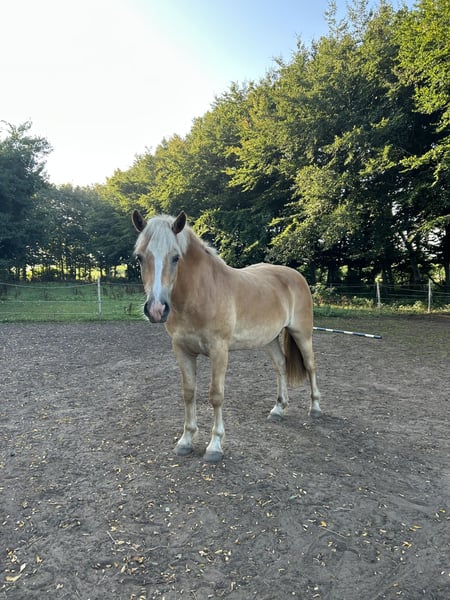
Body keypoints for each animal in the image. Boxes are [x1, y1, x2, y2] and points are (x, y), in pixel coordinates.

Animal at [132, 210, 322, 463]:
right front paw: (185, 440)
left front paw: (214, 446)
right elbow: (188, 393)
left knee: (310, 365)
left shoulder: (219, 351)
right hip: (270, 339)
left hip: (302, 333)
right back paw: (278, 410)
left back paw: (315, 408)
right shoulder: (181, 350)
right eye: (140, 257)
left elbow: (216, 395)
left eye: (175, 257)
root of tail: (295, 276)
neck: (201, 293)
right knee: (281, 366)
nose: (156, 309)